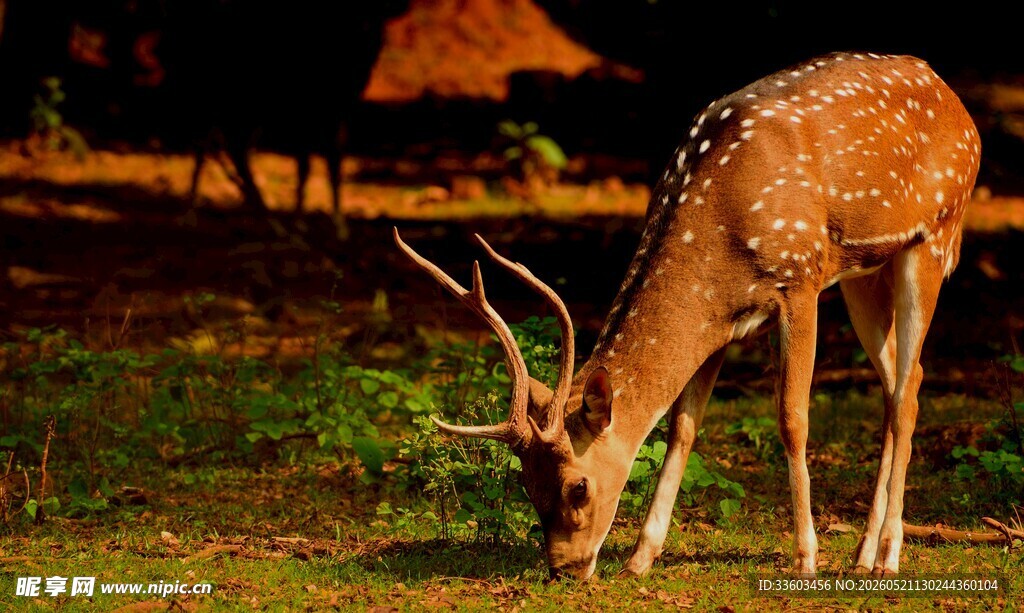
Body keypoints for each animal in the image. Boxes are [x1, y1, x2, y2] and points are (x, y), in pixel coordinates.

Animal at [395, 51, 980, 580]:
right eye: (526, 484)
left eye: (577, 486)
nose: (564, 568)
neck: (718, 237)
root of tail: (958, 103)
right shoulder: (721, 323)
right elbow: (682, 427)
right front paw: (639, 558)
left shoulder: (800, 279)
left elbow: (792, 419)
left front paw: (806, 558)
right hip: (865, 272)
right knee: (902, 382)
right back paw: (861, 553)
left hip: (934, 237)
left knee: (908, 393)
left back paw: (887, 555)